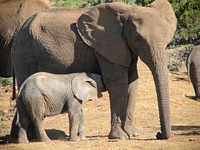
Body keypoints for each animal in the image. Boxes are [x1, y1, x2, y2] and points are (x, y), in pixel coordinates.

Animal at [11, 0, 177, 139]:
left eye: (166, 41)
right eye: (137, 39)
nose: (158, 134)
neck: (128, 11)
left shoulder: (123, 48)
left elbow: (132, 84)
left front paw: (133, 134)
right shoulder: (106, 47)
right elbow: (117, 84)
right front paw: (119, 137)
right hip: (25, 56)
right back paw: (32, 137)